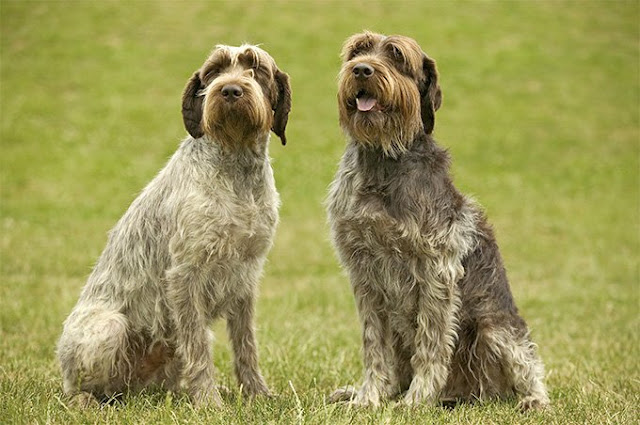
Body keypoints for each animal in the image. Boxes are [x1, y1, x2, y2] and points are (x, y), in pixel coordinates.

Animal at [57, 44, 292, 408]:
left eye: (256, 67)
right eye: (214, 71)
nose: (230, 90)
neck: (237, 168)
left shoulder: (246, 276)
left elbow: (245, 345)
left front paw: (256, 393)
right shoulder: (185, 275)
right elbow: (199, 346)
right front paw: (209, 402)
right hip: (109, 327)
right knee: (78, 388)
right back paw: (87, 401)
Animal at [328, 31, 548, 410]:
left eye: (397, 55)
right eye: (358, 49)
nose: (362, 70)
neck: (383, 160)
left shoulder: (436, 270)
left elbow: (430, 345)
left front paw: (416, 400)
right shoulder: (364, 272)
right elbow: (374, 347)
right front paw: (368, 397)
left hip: (496, 329)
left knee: (529, 365)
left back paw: (533, 400)